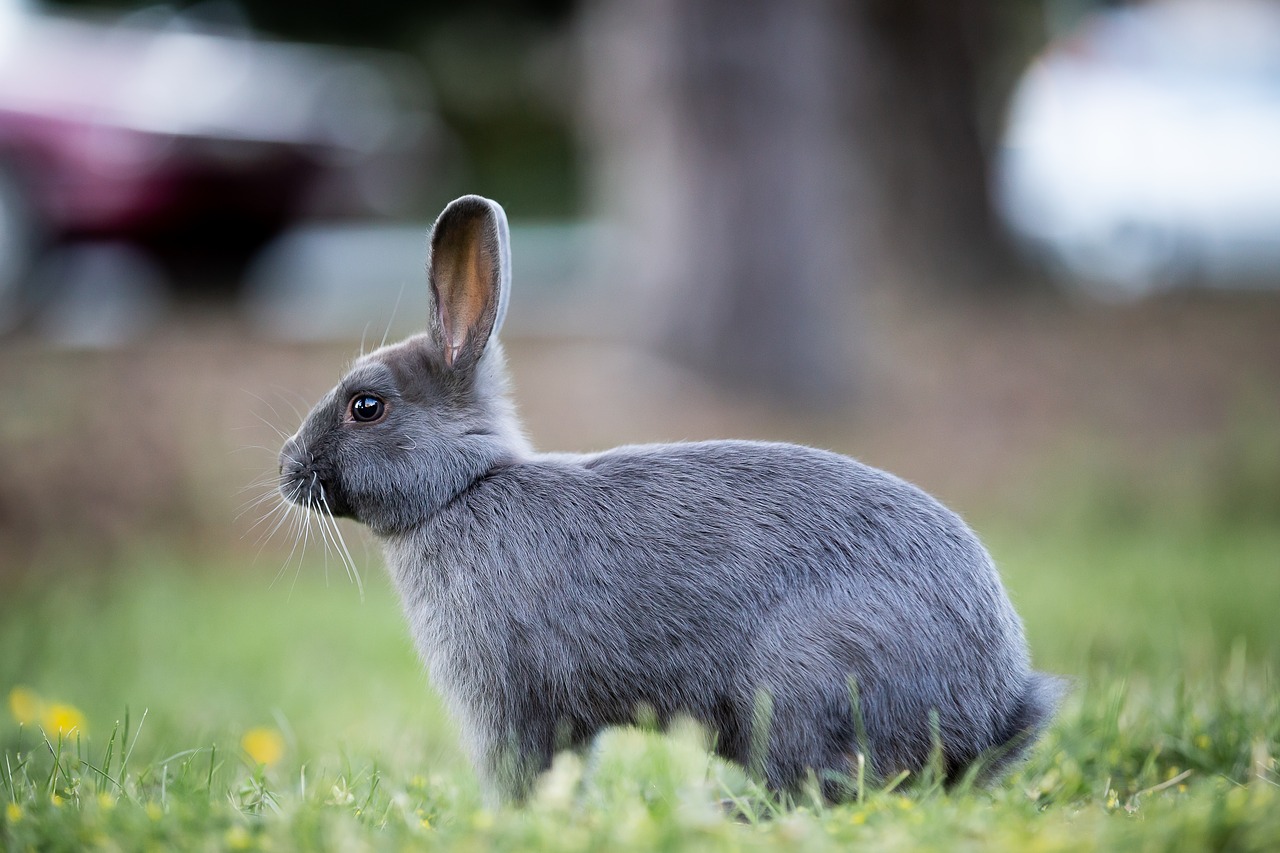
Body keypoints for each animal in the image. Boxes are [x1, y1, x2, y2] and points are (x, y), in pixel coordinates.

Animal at [277, 194, 1059, 804]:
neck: (463, 488)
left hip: (805, 686)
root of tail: (989, 711)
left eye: (366, 406)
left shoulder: (509, 700)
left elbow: (524, 771)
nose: (287, 467)